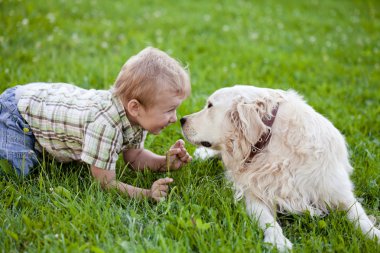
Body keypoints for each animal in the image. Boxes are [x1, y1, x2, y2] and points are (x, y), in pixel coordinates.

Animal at [180, 85, 378, 251]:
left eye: (210, 106)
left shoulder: (336, 190)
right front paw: (278, 241)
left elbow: (359, 215)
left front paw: (374, 234)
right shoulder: (254, 194)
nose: (182, 119)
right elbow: (268, 220)